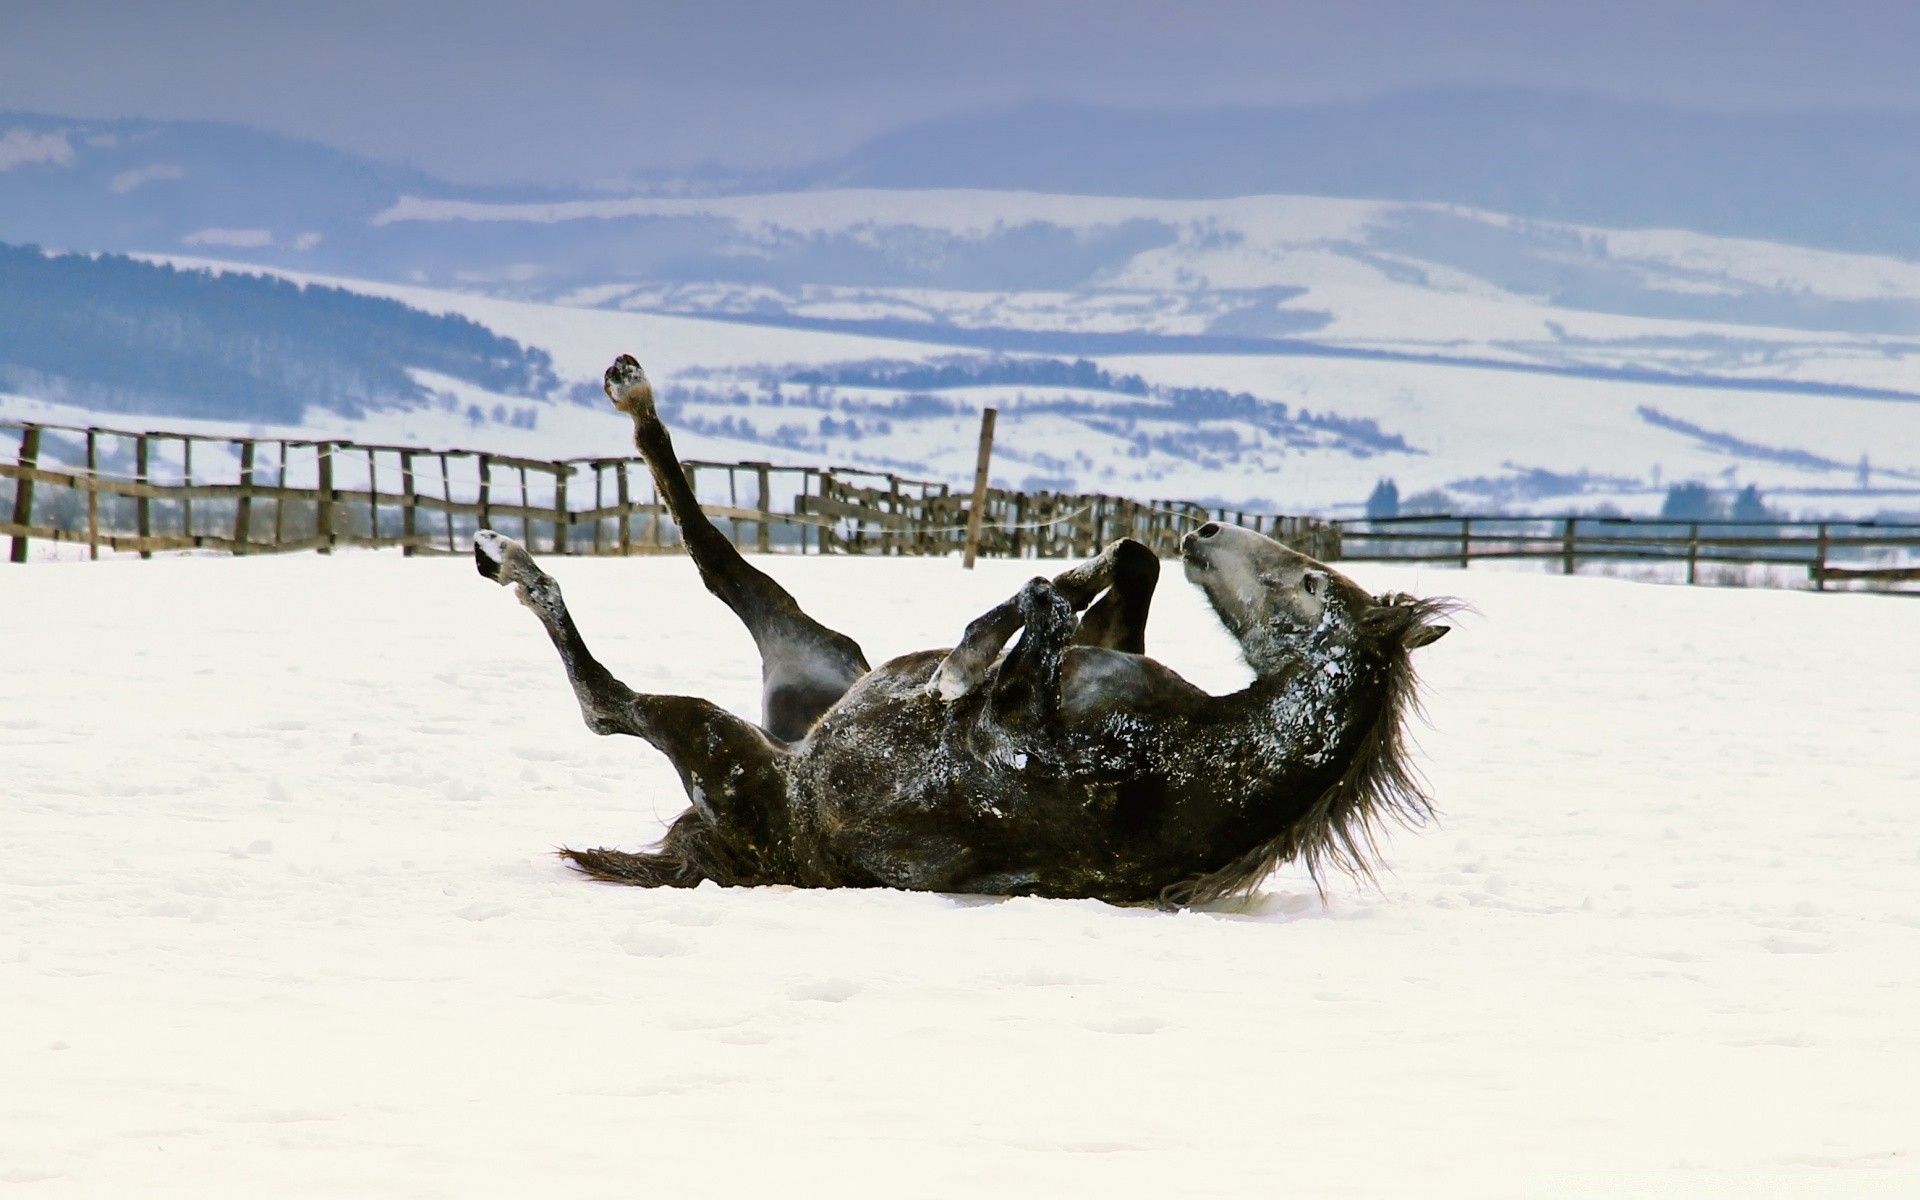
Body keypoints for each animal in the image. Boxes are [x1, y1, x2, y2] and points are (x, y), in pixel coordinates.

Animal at [468, 355, 1451, 906]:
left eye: (1311, 582)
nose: (1206, 531)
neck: (1184, 760)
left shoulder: (1007, 733)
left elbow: (1035, 618)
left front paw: (959, 665)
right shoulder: (1112, 647)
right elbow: (1111, 569)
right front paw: (1014, 614)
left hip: (721, 743)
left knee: (607, 698)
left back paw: (513, 558)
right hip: (813, 655)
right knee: (712, 557)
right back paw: (624, 402)